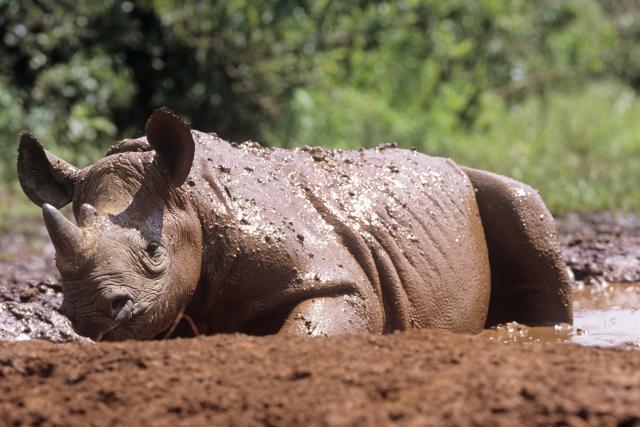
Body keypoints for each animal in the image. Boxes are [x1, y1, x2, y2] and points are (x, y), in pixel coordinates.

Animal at [17, 109, 572, 340]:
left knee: (518, 199)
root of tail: (444, 160)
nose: (90, 313)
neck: (194, 200)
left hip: (475, 183)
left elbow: (305, 331)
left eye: (154, 253)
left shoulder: (340, 277)